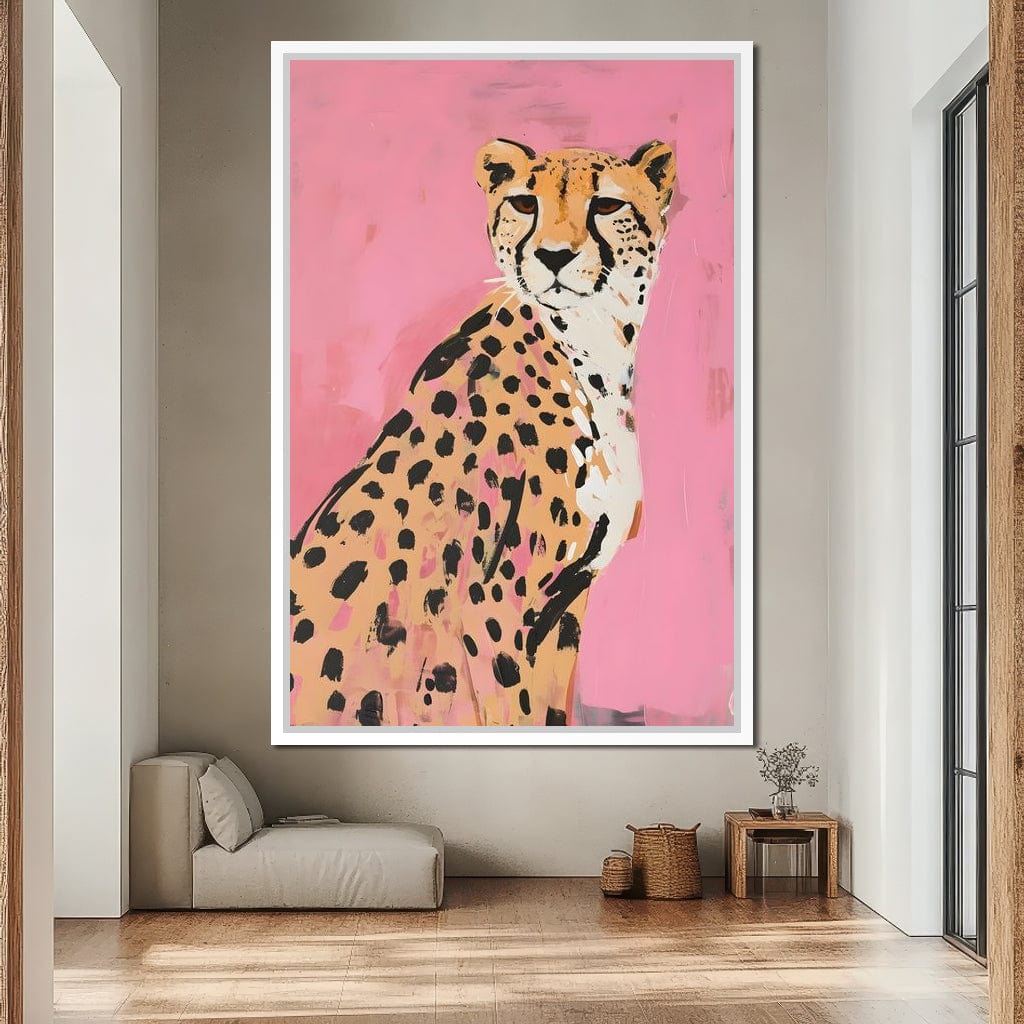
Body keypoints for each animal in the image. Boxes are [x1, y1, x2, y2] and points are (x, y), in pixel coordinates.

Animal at [289, 137, 676, 727]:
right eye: (524, 203)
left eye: (608, 206)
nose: (554, 256)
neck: (591, 349)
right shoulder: (494, 604)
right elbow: (510, 703)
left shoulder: (566, 603)